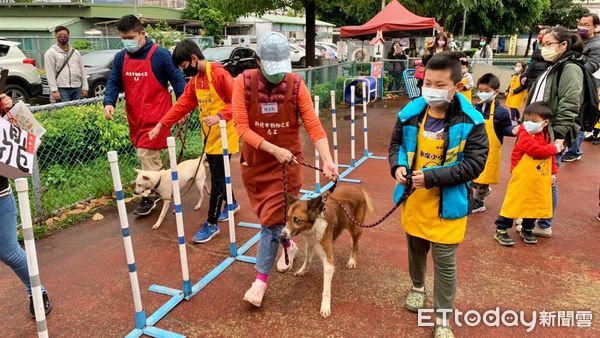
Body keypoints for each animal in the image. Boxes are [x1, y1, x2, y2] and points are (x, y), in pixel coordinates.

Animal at [282, 186, 376, 318]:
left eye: (296, 220)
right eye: (287, 218)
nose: (282, 235)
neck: (314, 225)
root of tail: (358, 188)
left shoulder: (328, 262)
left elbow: (326, 290)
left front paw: (325, 306)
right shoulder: (310, 242)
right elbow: (307, 260)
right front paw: (302, 270)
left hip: (355, 227)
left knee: (355, 243)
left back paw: (352, 260)